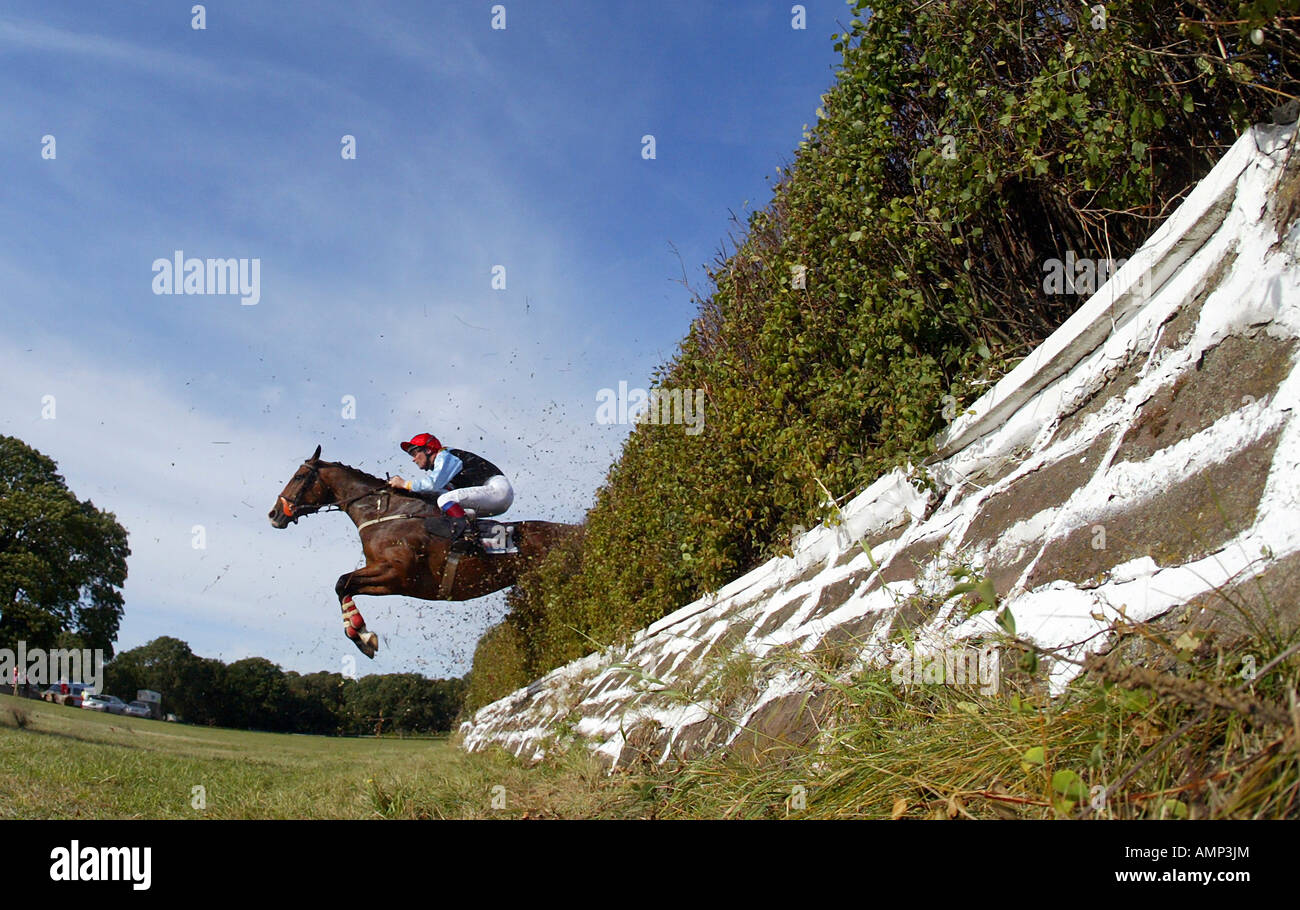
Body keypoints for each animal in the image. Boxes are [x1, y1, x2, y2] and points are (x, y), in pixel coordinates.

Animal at [266, 447, 572, 655]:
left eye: (300, 476)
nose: (274, 515)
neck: (385, 513)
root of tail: (573, 530)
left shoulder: (396, 574)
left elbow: (342, 582)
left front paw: (363, 635)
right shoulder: (392, 582)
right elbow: (344, 585)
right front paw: (359, 633)